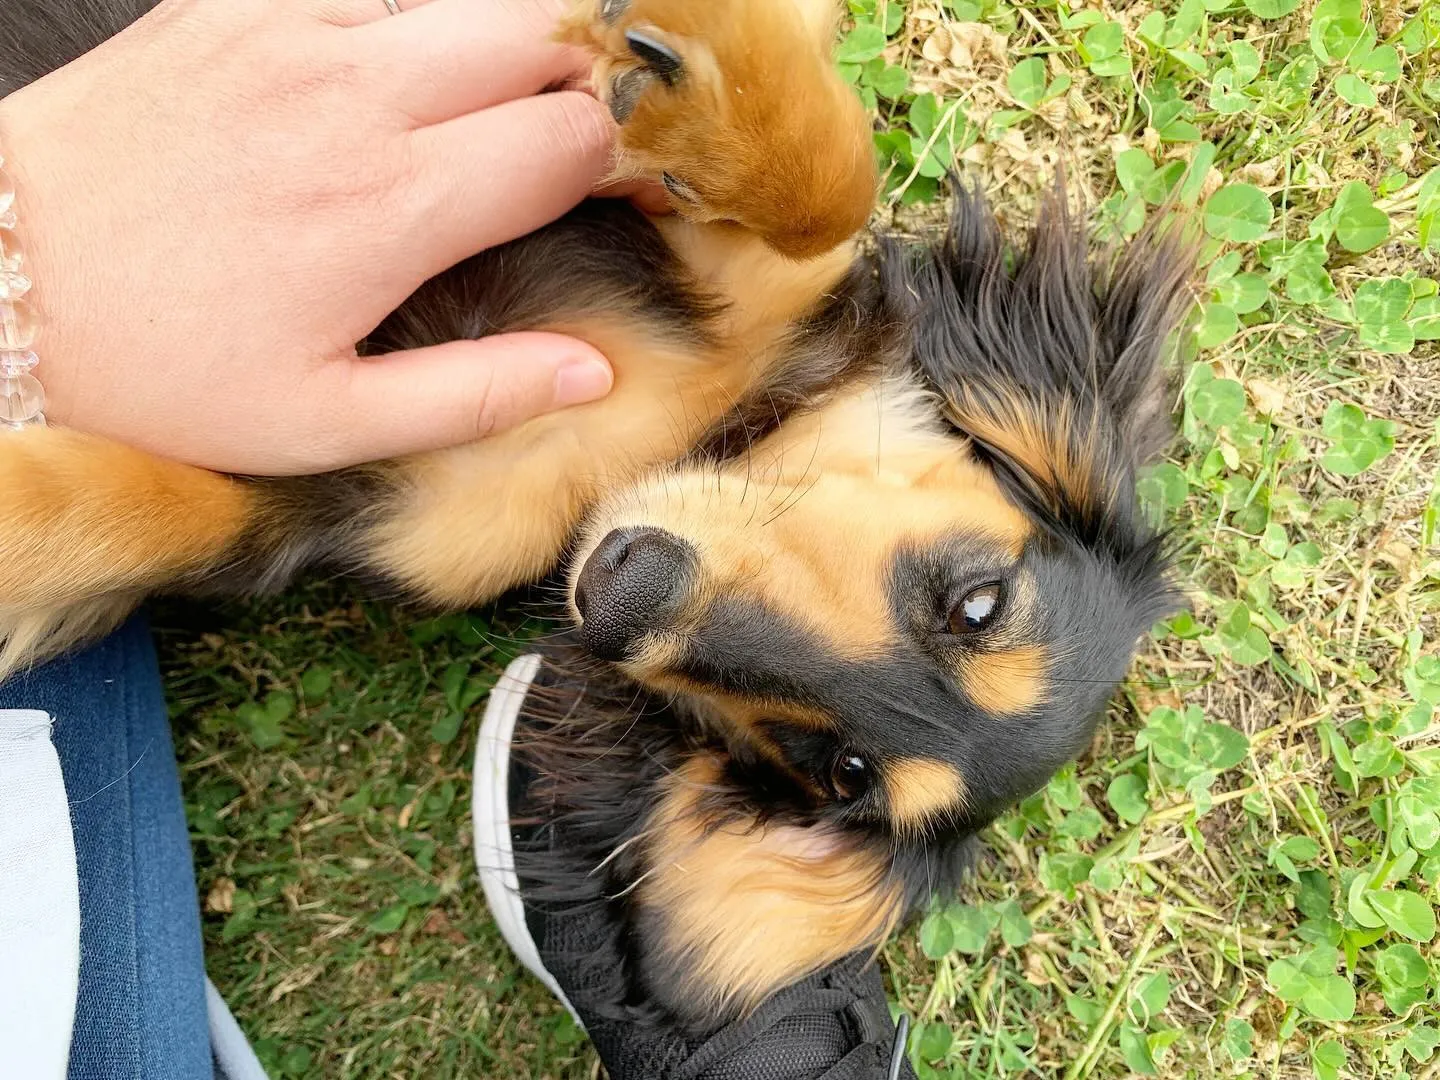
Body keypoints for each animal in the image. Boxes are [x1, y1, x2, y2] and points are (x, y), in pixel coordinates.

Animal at [0, 0, 1192, 1031]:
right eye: (978, 604)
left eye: (835, 771)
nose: (625, 598)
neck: (676, 435)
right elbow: (829, 196)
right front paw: (705, 69)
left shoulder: (345, 488)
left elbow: (133, 511)